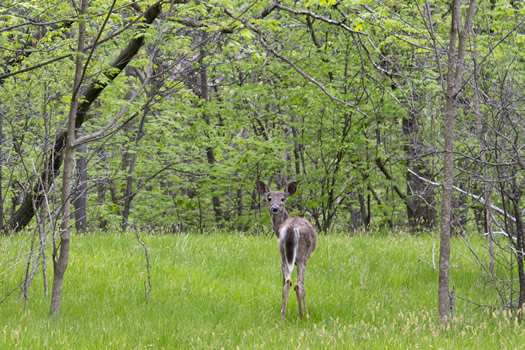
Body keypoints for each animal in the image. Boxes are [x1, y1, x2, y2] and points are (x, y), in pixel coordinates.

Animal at [256, 180, 318, 320]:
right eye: (269, 198)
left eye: (282, 198)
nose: (274, 208)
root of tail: (290, 229)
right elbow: (301, 285)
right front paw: (304, 312)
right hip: (302, 256)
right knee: (298, 284)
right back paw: (305, 315)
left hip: (282, 254)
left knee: (287, 282)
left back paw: (282, 317)